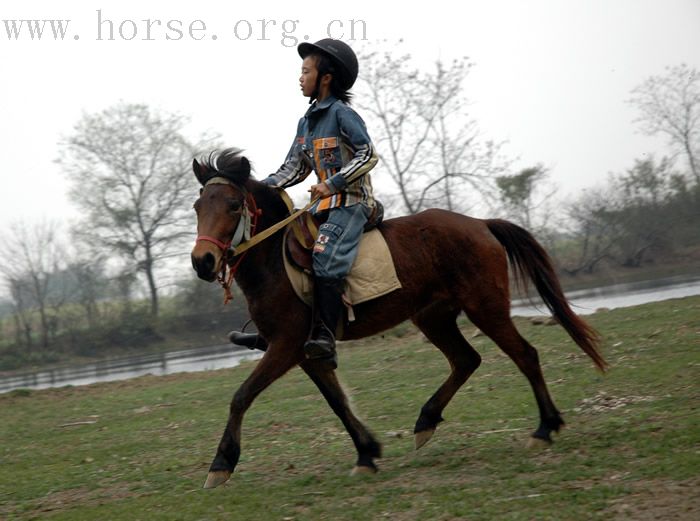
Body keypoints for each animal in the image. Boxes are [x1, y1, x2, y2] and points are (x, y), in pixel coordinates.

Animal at [189, 149, 604, 488]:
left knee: (524, 356)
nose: (202, 261)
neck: (274, 260)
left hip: (486, 307)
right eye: (197, 207)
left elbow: (241, 396)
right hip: (434, 318)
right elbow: (337, 402)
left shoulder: (286, 346)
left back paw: (545, 428)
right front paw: (367, 452)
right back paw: (426, 421)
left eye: (232, 205)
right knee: (466, 360)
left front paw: (221, 464)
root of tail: (480, 223)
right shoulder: (308, 352)